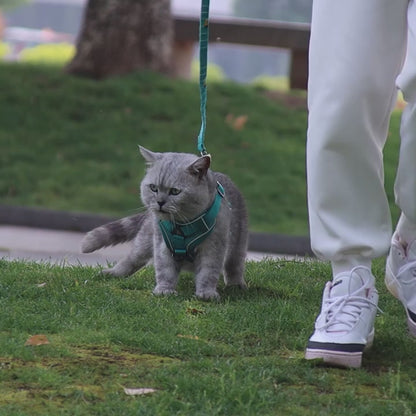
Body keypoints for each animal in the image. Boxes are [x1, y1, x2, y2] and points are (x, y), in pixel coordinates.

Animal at [83, 146, 249, 300]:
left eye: (175, 191)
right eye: (153, 188)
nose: (160, 202)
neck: (183, 226)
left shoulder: (213, 248)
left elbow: (208, 272)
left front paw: (206, 293)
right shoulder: (162, 245)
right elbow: (165, 270)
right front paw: (164, 290)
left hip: (238, 242)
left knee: (234, 265)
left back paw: (235, 284)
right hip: (144, 241)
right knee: (130, 259)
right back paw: (112, 273)